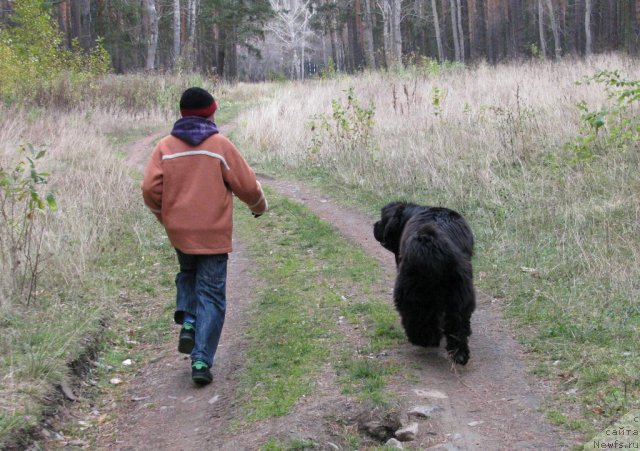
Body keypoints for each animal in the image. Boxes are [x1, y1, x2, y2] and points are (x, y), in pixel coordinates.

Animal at [372, 203, 472, 366]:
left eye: (383, 218)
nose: (375, 225)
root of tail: (431, 242)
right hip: (460, 293)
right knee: (458, 323)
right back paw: (459, 354)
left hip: (409, 289)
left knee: (417, 315)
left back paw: (424, 339)